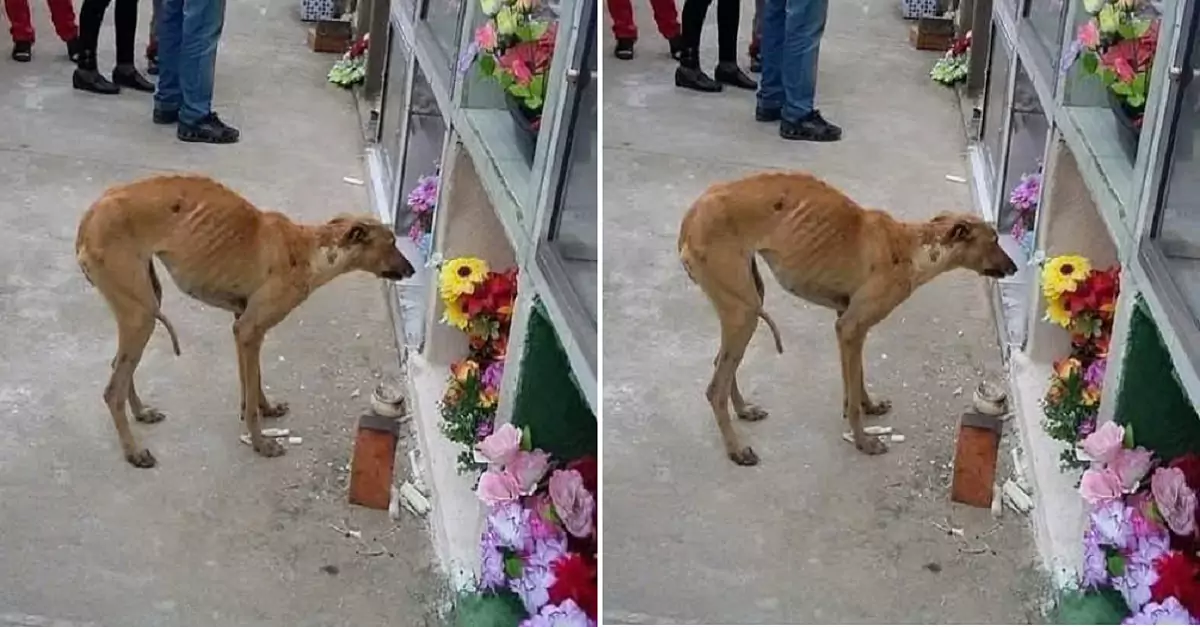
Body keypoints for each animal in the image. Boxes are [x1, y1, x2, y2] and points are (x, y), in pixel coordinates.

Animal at [76, 172, 412, 466]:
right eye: (392, 242)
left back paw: (141, 412)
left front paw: (267, 408)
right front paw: (261, 443)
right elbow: (250, 397)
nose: (411, 270)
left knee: (118, 367)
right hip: (141, 315)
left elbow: (253, 382)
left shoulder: (243, 325)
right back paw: (134, 452)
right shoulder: (249, 329)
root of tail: (90, 216)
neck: (310, 251)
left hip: (147, 299)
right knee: (112, 392)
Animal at [681, 170, 1017, 463]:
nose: (1014, 268)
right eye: (995, 240)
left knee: (721, 366)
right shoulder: (851, 327)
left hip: (749, 299)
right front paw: (863, 440)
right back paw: (736, 450)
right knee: (714, 389)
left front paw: (869, 405)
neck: (912, 248)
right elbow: (853, 394)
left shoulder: (848, 322)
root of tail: (691, 216)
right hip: (744, 311)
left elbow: (857, 378)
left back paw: (743, 410)